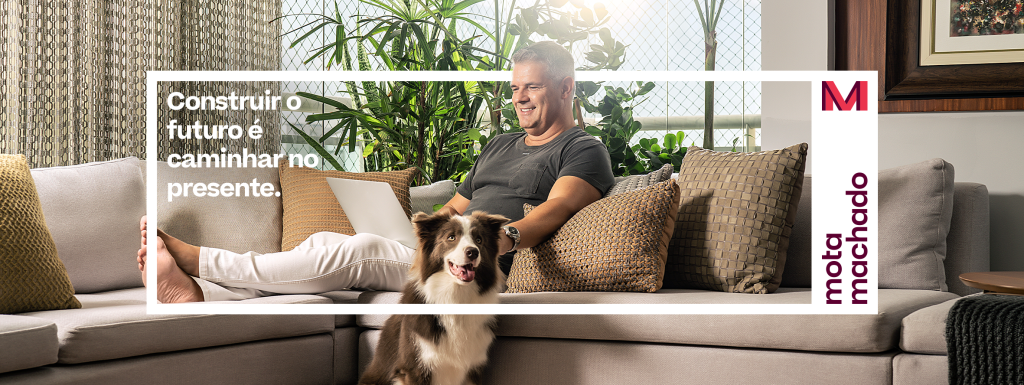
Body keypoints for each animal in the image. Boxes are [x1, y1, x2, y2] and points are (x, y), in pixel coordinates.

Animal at [358, 210, 509, 385]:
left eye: (479, 240)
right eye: (451, 237)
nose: (473, 252)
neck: (455, 296)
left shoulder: (474, 369)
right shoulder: (414, 368)